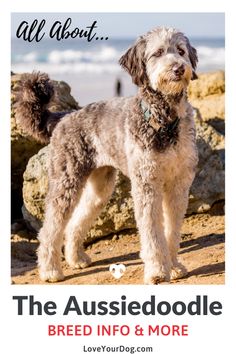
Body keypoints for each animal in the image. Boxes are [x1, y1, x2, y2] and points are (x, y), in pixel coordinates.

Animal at [14, 26, 198, 284]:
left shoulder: (179, 183)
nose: (179, 68)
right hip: (66, 181)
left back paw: (76, 259)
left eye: (181, 51)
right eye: (158, 53)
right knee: (50, 227)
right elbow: (152, 233)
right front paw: (157, 271)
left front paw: (174, 266)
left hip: (100, 187)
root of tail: (64, 116)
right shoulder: (146, 184)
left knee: (75, 223)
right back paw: (50, 270)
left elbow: (172, 230)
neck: (165, 119)